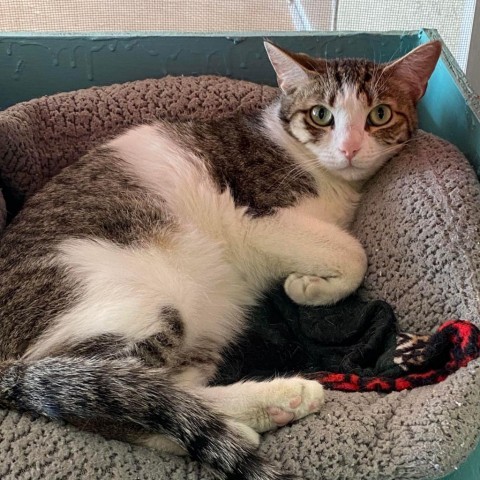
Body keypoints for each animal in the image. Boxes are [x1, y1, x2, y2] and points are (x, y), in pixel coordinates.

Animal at [0, 41, 440, 480]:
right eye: (321, 115)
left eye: (379, 115)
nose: (349, 149)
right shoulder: (260, 221)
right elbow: (353, 252)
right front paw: (306, 287)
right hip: (139, 301)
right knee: (110, 399)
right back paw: (281, 397)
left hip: (202, 327)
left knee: (152, 391)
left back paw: (234, 423)